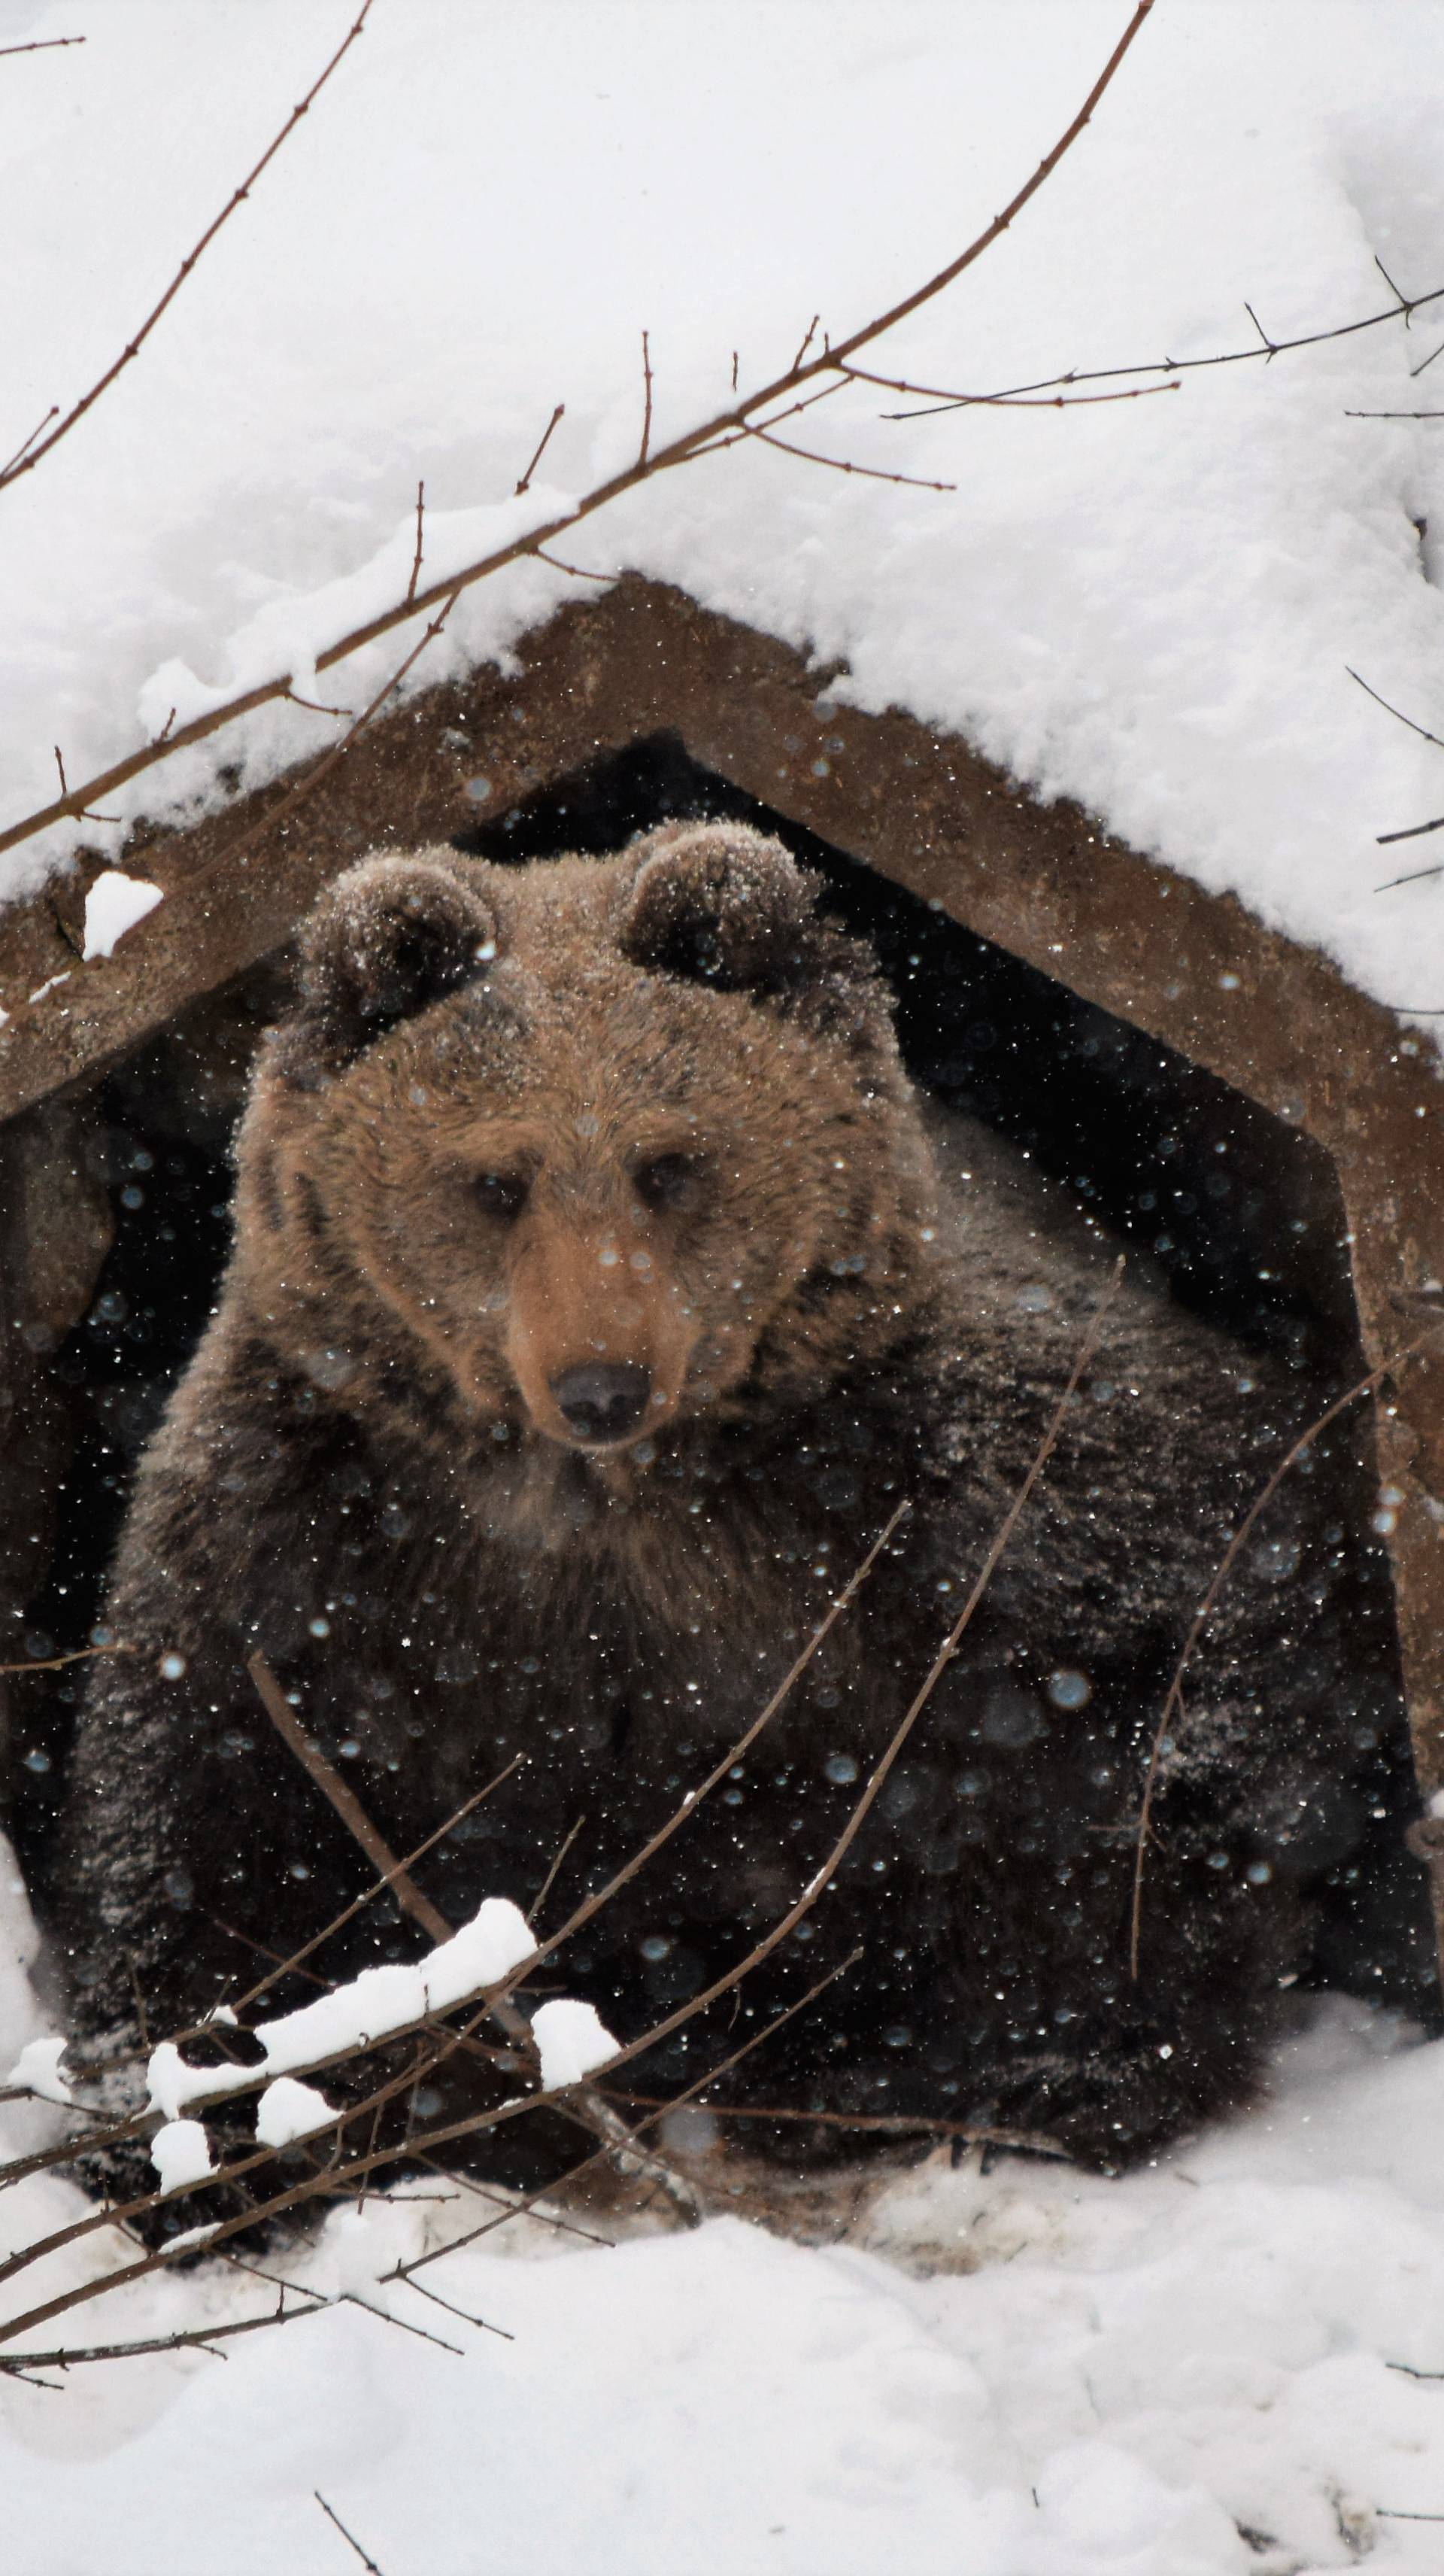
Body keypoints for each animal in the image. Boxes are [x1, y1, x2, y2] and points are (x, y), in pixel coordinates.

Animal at [50, 824, 1390, 2195]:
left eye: (668, 1160)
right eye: (495, 1176)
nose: (600, 1381)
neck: (609, 1499)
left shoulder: (944, 1468)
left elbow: (1185, 1628)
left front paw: (1064, 2051)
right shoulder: (323, 1522)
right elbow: (209, 1792)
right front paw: (195, 2124)